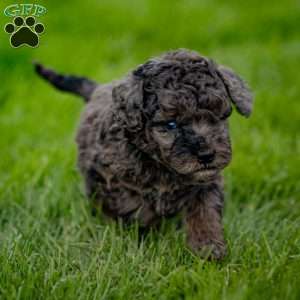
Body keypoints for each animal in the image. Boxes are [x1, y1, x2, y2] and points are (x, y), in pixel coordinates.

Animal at [35, 49, 253, 260]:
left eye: (218, 117)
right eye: (171, 124)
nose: (207, 155)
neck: (163, 166)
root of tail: (97, 89)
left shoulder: (205, 182)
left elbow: (204, 210)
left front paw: (208, 246)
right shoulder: (114, 182)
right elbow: (133, 208)